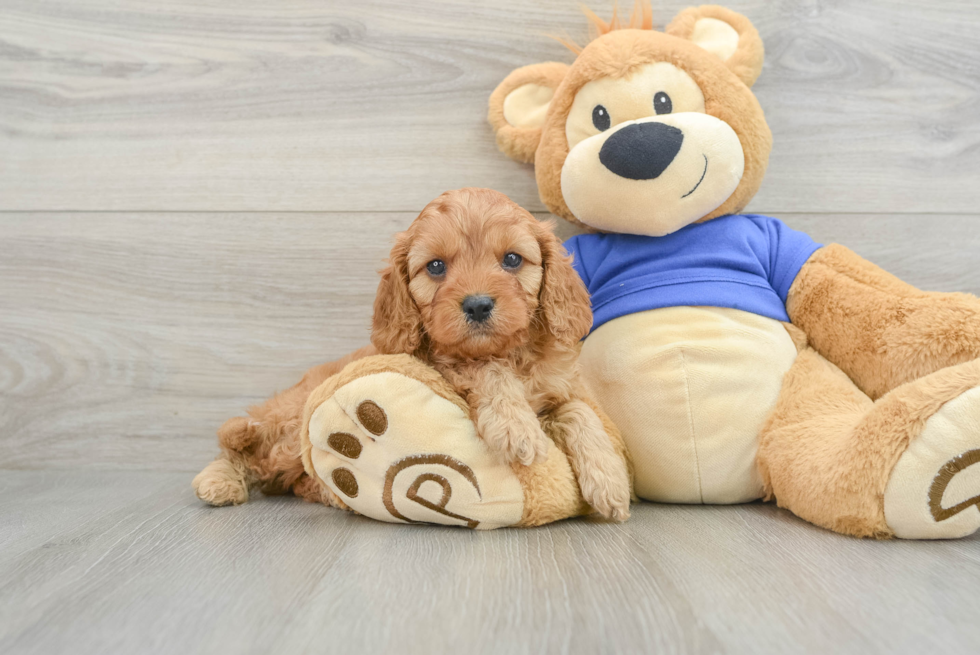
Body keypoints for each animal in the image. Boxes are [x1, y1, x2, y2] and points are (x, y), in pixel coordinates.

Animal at [195, 187, 632, 520]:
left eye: (512, 259)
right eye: (435, 267)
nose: (477, 306)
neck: (509, 352)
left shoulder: (558, 390)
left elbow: (579, 411)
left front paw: (610, 480)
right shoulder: (445, 365)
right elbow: (485, 369)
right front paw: (515, 428)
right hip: (288, 427)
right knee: (251, 453)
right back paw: (219, 480)